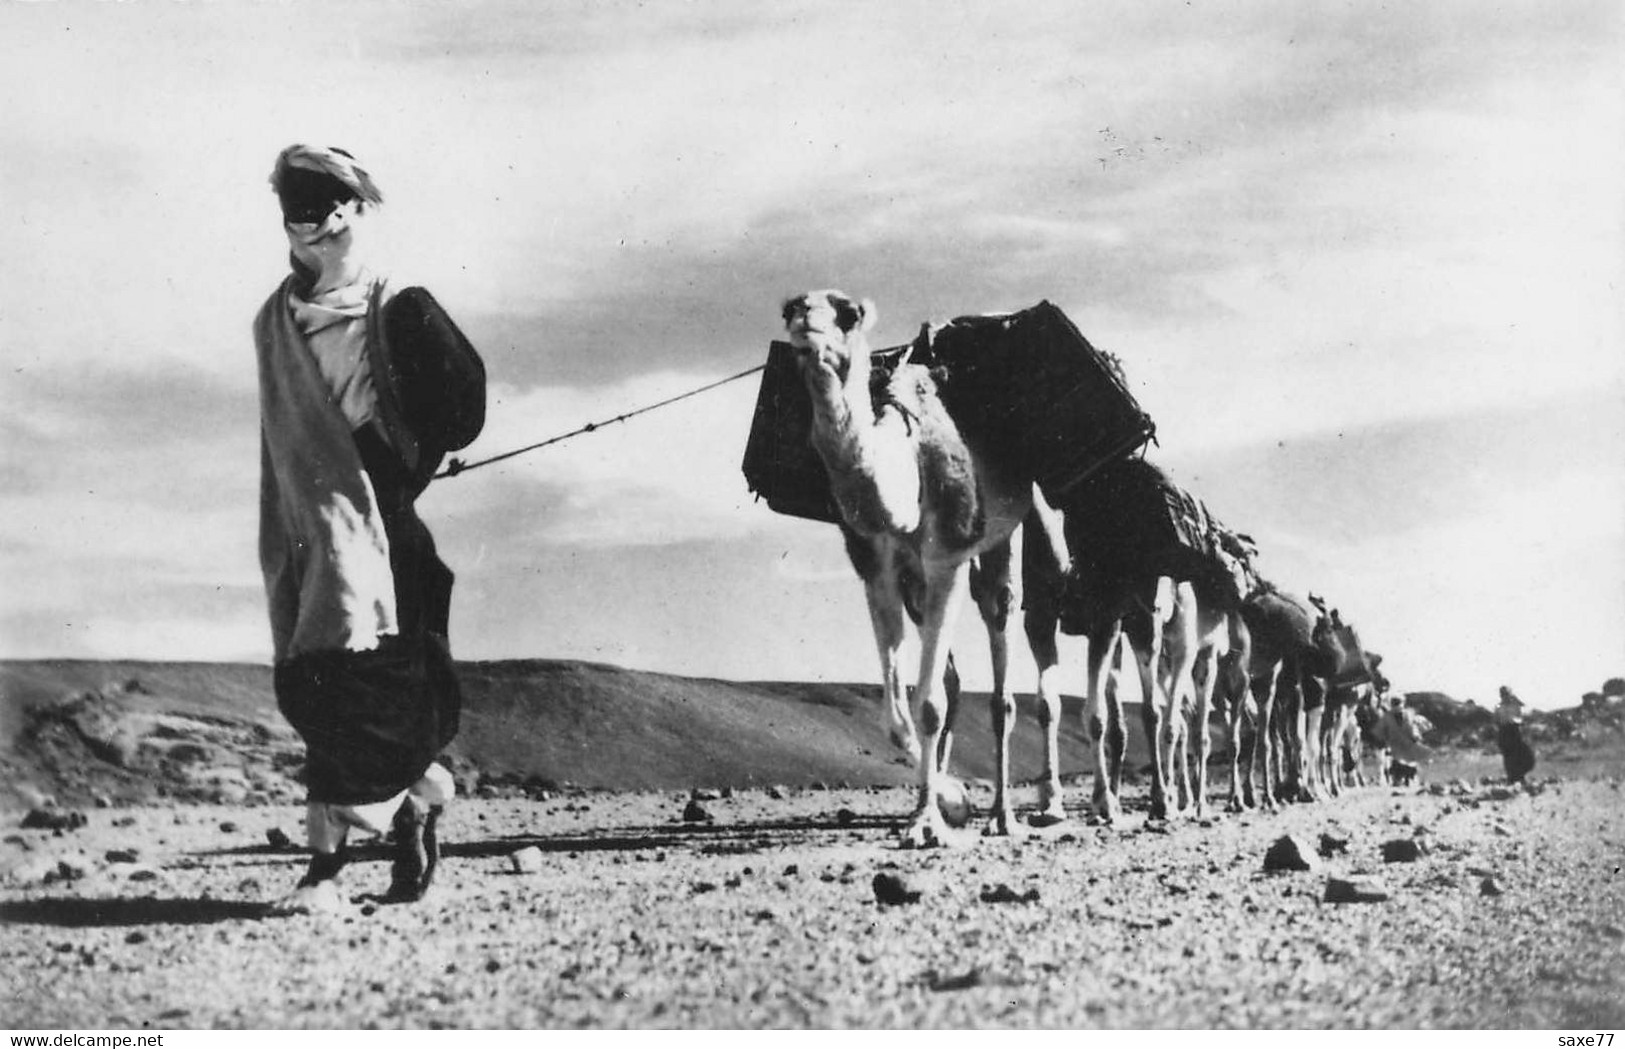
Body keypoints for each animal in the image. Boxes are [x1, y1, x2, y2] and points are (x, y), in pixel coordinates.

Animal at [773, 292, 1027, 850]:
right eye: (790, 309)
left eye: (846, 313)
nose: (806, 324)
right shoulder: (877, 570)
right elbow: (897, 714)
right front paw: (949, 799)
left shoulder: (948, 556)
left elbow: (927, 703)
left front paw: (929, 823)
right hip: (916, 586)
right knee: (953, 677)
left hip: (1002, 539)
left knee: (999, 642)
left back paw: (1005, 815)